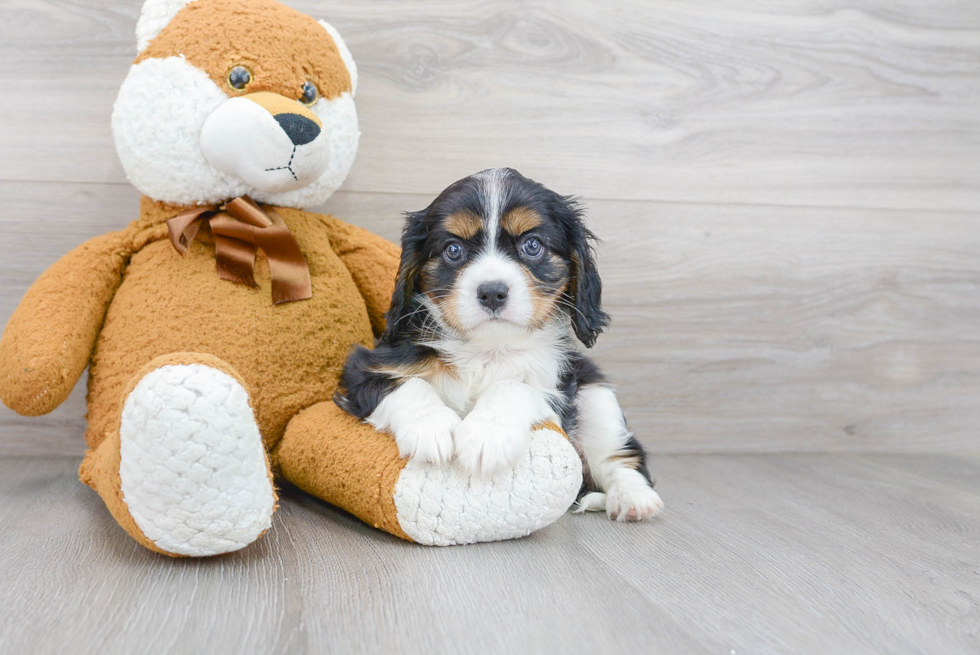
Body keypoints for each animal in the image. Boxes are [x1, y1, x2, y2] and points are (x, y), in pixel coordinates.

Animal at [336, 168, 668, 524]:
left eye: (532, 245)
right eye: (453, 250)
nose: (492, 292)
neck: (488, 349)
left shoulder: (556, 392)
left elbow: (512, 387)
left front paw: (486, 435)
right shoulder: (366, 367)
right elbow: (408, 386)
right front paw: (431, 427)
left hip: (596, 396)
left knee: (618, 457)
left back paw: (633, 499)